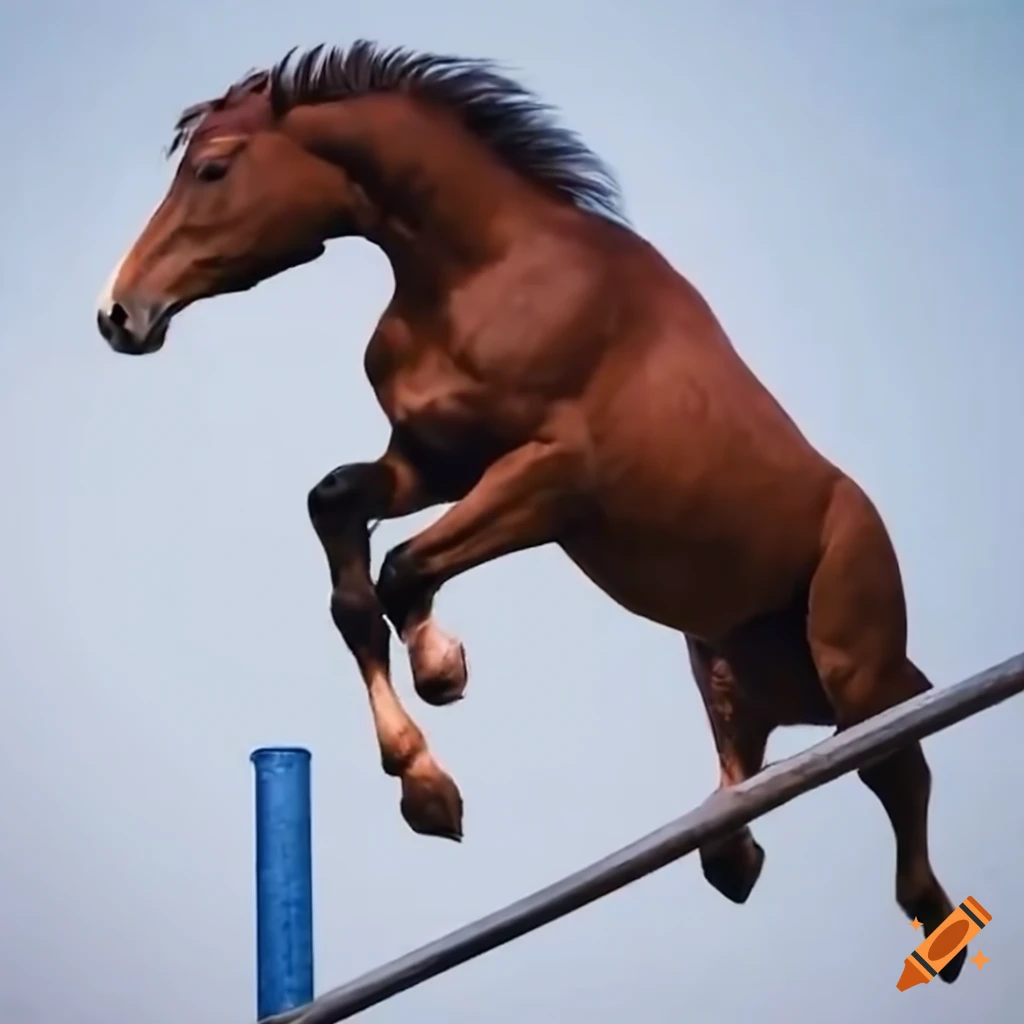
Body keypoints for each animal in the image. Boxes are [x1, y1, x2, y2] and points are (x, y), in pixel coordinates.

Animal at [94, 41, 965, 982]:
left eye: (214, 169)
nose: (118, 313)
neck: (482, 273)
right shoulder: (430, 463)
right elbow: (344, 539)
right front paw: (427, 784)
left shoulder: (551, 482)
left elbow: (404, 568)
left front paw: (442, 677)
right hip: (729, 666)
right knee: (750, 768)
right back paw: (732, 856)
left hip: (853, 661)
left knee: (895, 767)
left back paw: (935, 919)